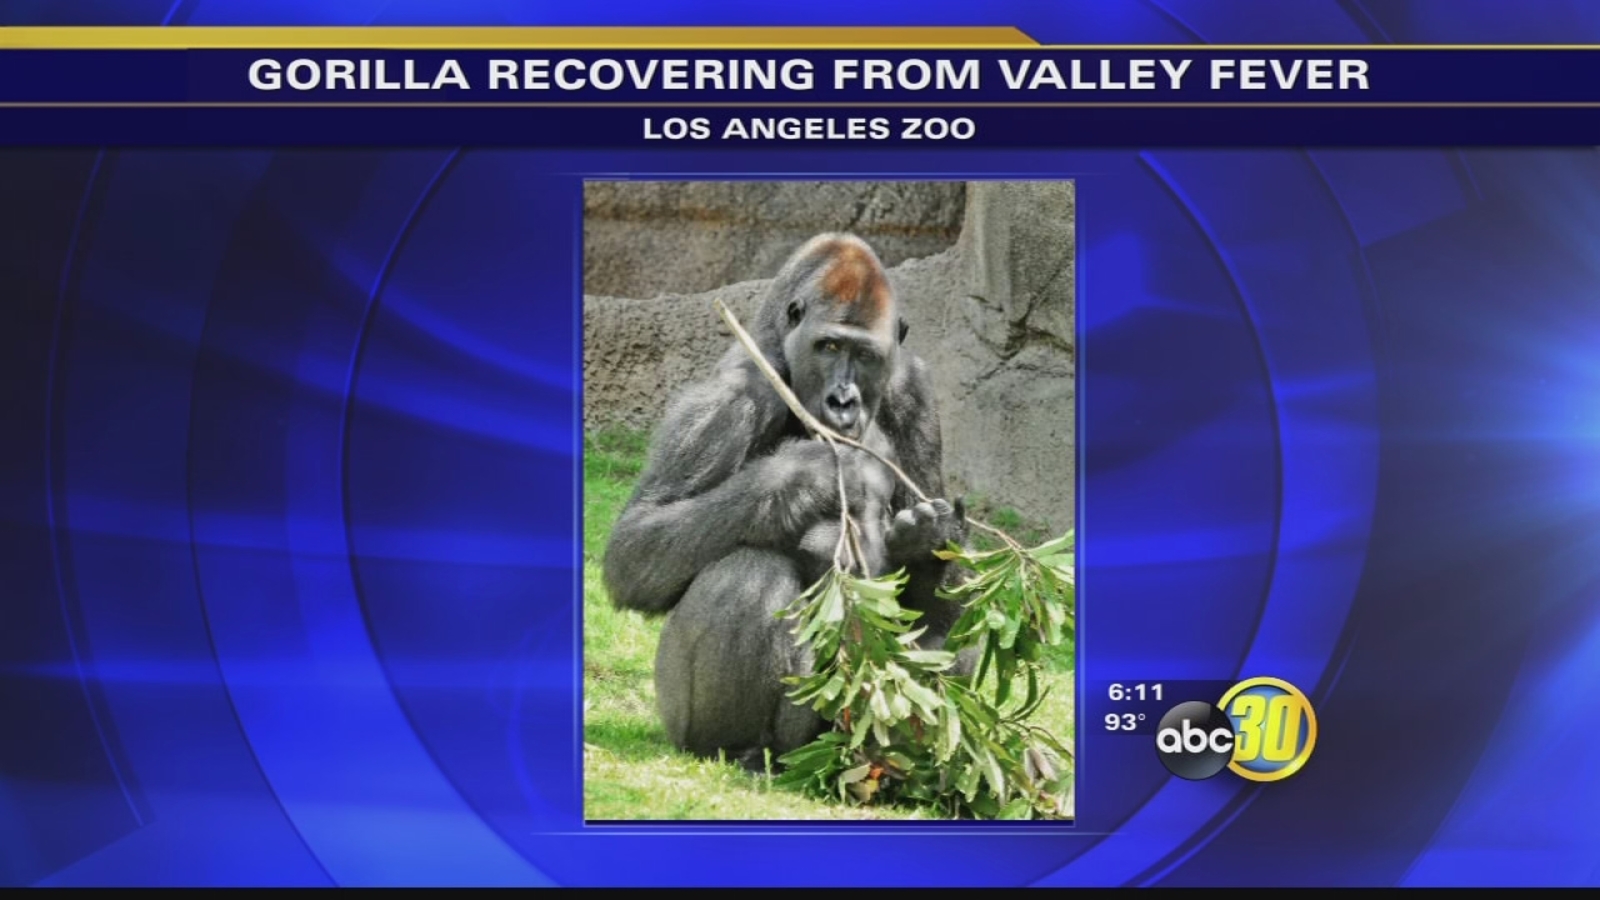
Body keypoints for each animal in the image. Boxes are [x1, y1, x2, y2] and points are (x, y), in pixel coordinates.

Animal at [601, 233, 973, 771]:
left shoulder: (914, 390)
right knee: (749, 572)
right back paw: (740, 747)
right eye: (829, 346)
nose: (843, 401)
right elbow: (636, 544)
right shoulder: (733, 393)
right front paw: (804, 474)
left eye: (866, 356)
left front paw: (926, 546)